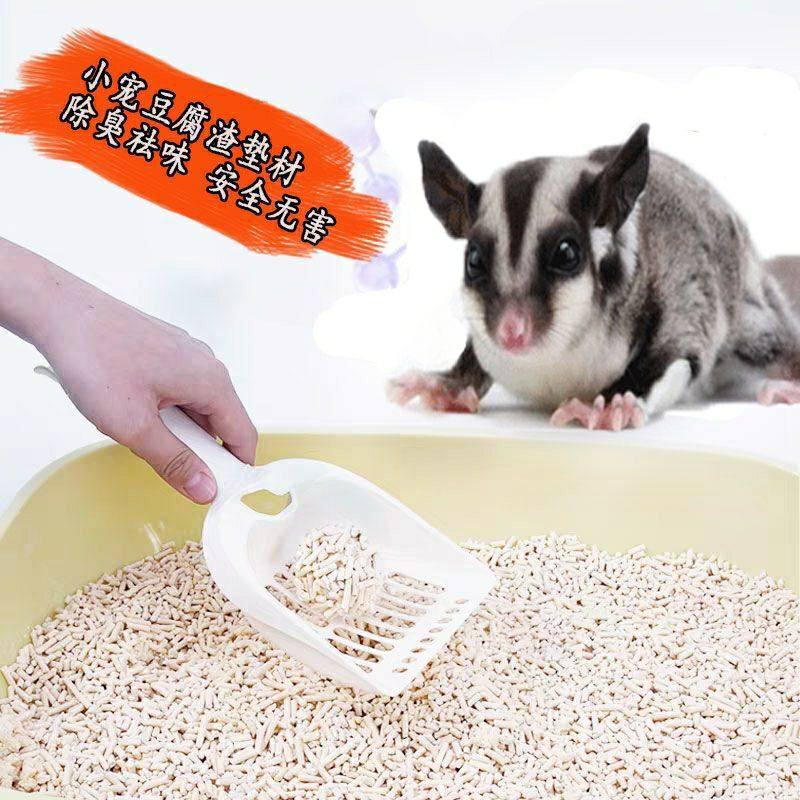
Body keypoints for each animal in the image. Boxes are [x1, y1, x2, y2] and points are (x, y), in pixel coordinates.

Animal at [388, 125, 800, 430]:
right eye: (473, 260)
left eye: (566, 254)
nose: (511, 330)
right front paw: (446, 386)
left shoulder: (684, 294)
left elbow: (676, 352)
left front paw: (612, 404)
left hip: (752, 319)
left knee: (768, 340)